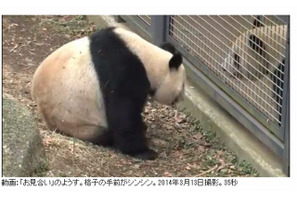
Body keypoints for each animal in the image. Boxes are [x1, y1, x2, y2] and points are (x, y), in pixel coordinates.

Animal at [31, 26, 185, 159]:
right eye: (182, 86)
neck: (146, 56)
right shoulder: (123, 69)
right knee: (104, 133)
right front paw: (143, 152)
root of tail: (48, 122)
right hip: (76, 122)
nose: (180, 98)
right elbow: (123, 111)